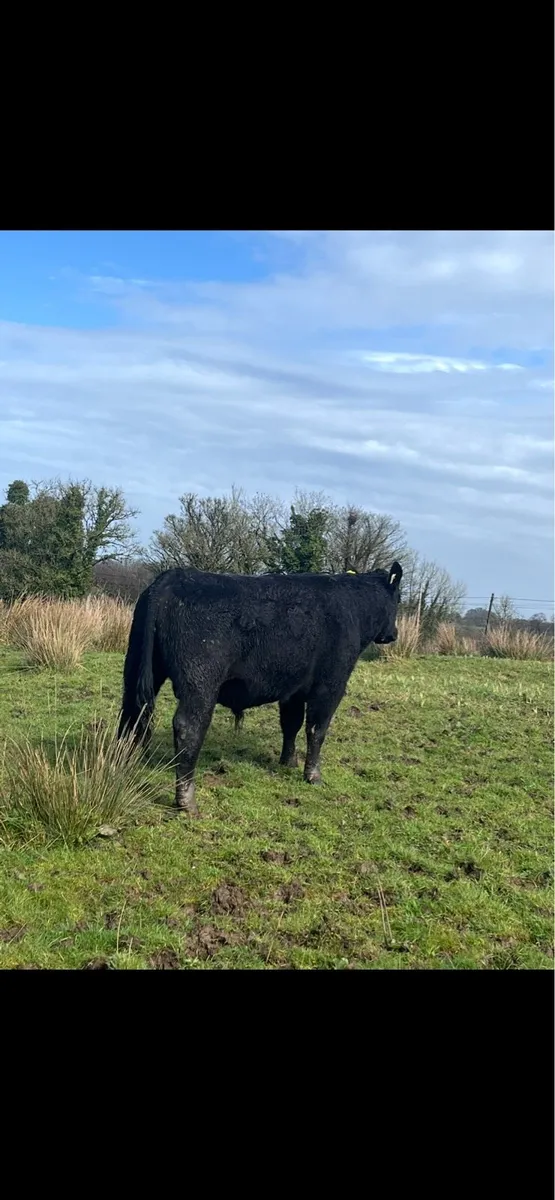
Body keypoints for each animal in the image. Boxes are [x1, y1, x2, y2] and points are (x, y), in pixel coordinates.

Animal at [117, 562, 402, 816]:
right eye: (398, 599)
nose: (393, 634)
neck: (353, 609)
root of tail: (173, 578)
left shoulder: (293, 689)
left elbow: (291, 724)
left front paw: (288, 762)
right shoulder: (330, 685)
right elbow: (316, 730)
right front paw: (313, 775)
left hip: (137, 669)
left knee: (131, 715)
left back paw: (123, 765)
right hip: (200, 681)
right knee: (189, 727)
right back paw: (187, 802)